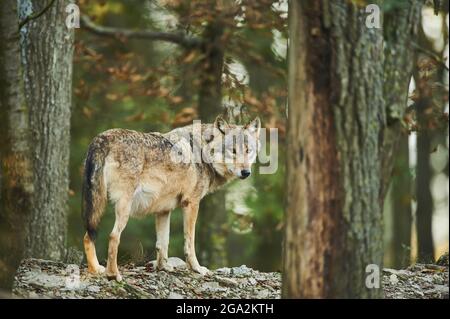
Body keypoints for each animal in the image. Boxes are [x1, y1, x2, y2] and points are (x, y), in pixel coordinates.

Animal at [81, 116, 260, 282]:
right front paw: (197, 268)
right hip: (122, 208)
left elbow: (162, 243)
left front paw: (163, 267)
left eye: (248, 150)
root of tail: (101, 138)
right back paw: (113, 274)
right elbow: (190, 243)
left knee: (88, 236)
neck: (202, 150)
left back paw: (96, 269)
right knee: (113, 237)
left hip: (98, 206)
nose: (246, 172)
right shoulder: (191, 203)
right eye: (233, 150)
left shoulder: (163, 210)